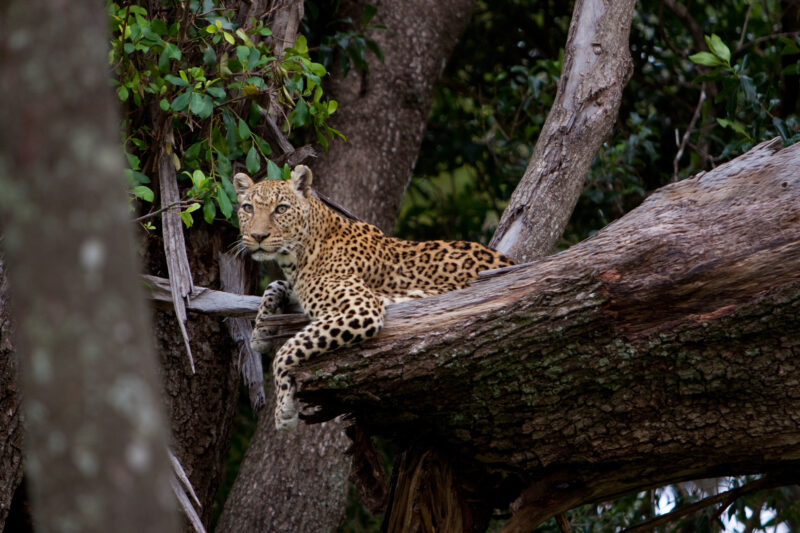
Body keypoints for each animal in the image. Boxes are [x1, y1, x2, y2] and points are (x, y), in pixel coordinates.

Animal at [233, 165, 514, 431]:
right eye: (248, 208)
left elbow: (287, 350)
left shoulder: (361, 309)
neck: (298, 256)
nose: (258, 236)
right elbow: (273, 285)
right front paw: (260, 333)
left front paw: (284, 411)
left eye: (281, 209)